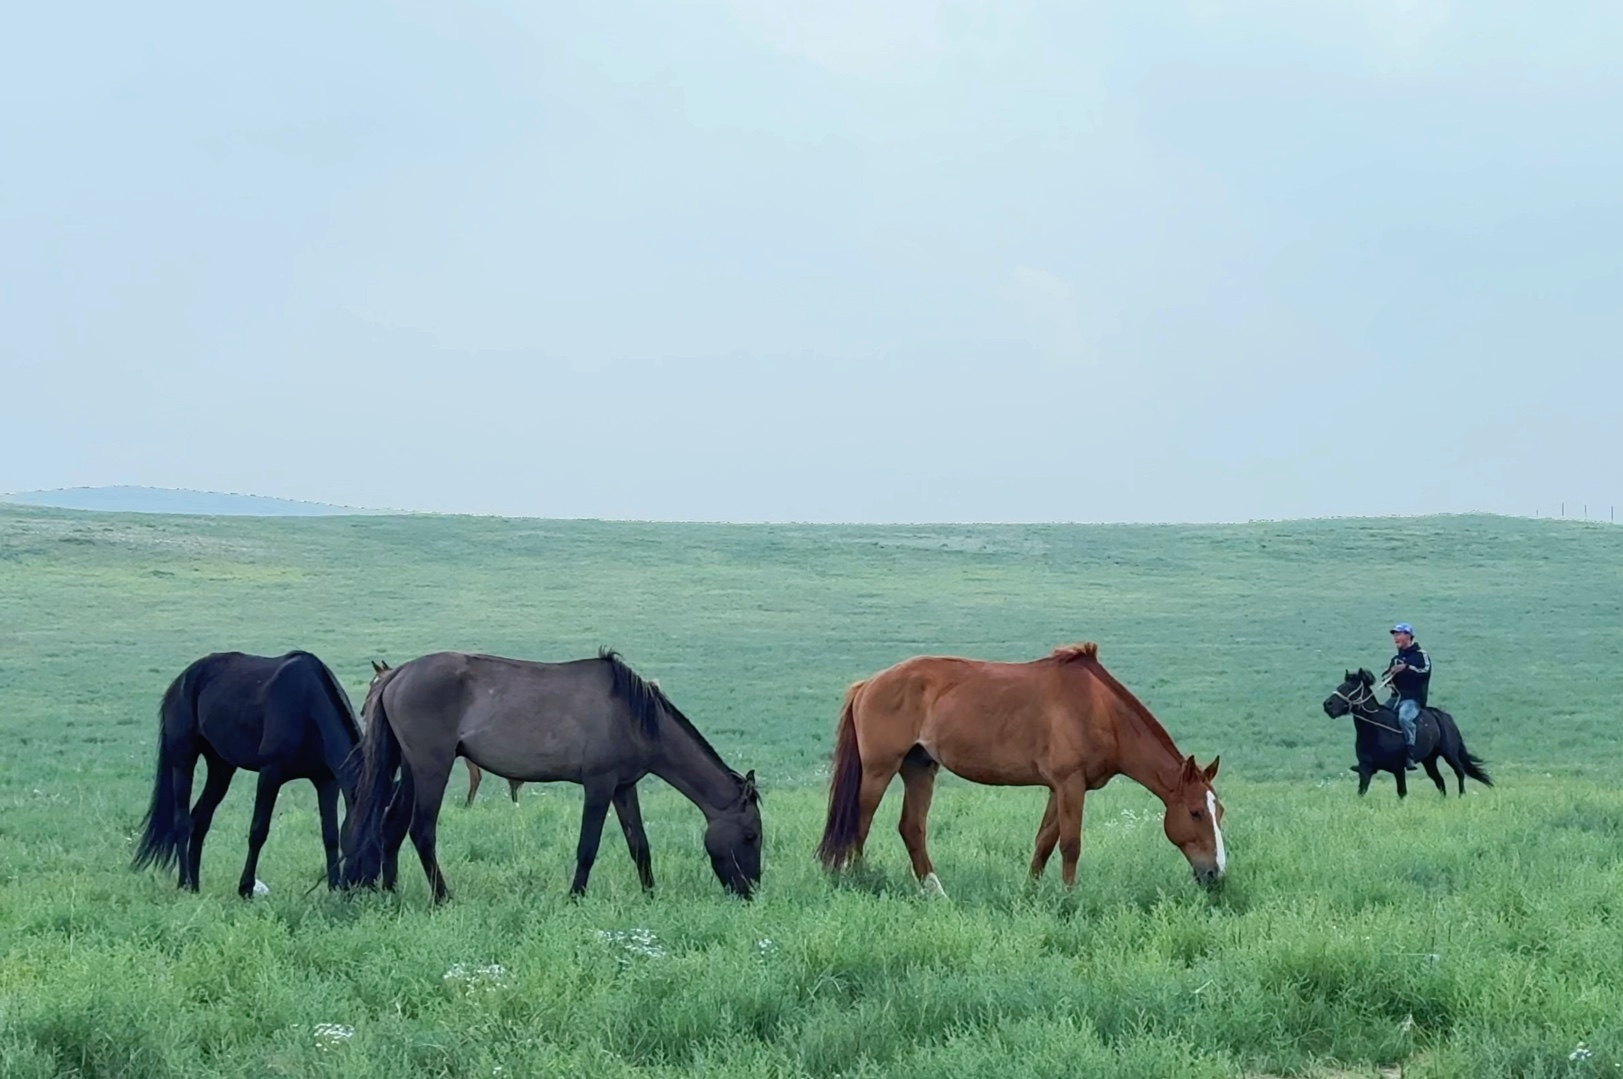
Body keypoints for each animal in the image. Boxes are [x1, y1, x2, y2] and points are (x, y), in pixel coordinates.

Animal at [132, 652, 361, 895]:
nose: (360, 886)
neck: (308, 707)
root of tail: (178, 683)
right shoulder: (271, 773)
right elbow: (258, 831)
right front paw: (246, 887)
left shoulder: (326, 781)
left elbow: (330, 835)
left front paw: (334, 887)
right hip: (183, 760)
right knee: (183, 821)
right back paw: (184, 882)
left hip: (221, 768)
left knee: (200, 820)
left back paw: (195, 884)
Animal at [342, 649, 759, 902]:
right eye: (751, 836)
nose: (751, 891)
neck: (635, 715)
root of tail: (397, 675)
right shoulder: (599, 785)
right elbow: (587, 847)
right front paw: (575, 897)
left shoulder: (624, 787)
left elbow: (639, 845)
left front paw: (650, 895)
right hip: (433, 768)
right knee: (422, 831)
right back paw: (442, 897)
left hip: (412, 769)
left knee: (392, 825)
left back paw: (391, 892)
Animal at [817, 639, 1220, 889]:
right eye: (1196, 812)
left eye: (1221, 812)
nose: (1216, 874)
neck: (1100, 710)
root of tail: (867, 684)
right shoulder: (1070, 784)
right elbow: (1070, 844)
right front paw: (1069, 897)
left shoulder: (1061, 787)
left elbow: (1044, 841)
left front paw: (1033, 891)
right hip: (879, 770)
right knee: (860, 824)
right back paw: (859, 880)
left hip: (919, 768)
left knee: (912, 828)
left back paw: (935, 891)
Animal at [1324, 665, 1486, 798]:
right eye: (1341, 686)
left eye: (1350, 688)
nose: (1327, 705)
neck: (1376, 729)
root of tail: (1445, 717)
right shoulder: (1366, 768)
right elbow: (1361, 792)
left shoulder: (1398, 769)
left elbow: (1402, 792)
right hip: (1429, 760)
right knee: (1439, 780)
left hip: (1450, 754)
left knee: (1460, 772)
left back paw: (1461, 796)